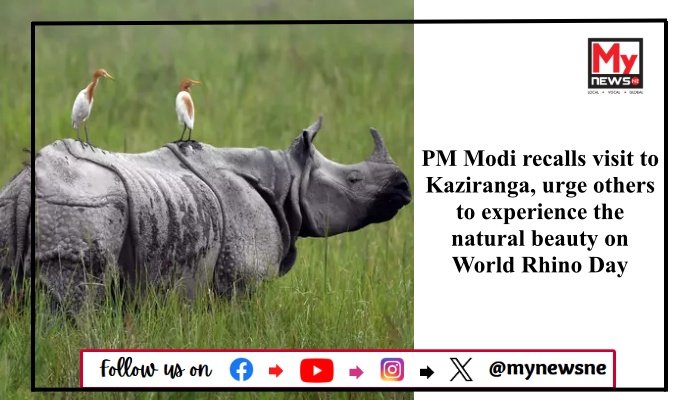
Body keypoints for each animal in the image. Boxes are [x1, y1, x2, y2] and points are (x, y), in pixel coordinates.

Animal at [0, 117, 411, 311]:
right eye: (354, 179)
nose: (404, 187)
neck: (288, 181)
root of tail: (26, 182)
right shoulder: (241, 278)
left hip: (12, 205)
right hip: (80, 203)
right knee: (79, 297)